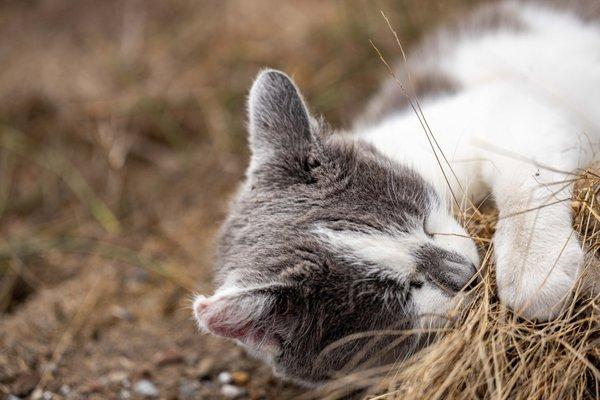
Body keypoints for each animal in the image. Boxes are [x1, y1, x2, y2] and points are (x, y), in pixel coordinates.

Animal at [195, 0, 596, 388]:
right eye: (401, 292)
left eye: (423, 220)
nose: (466, 275)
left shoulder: (494, 109)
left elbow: (527, 173)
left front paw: (536, 271)